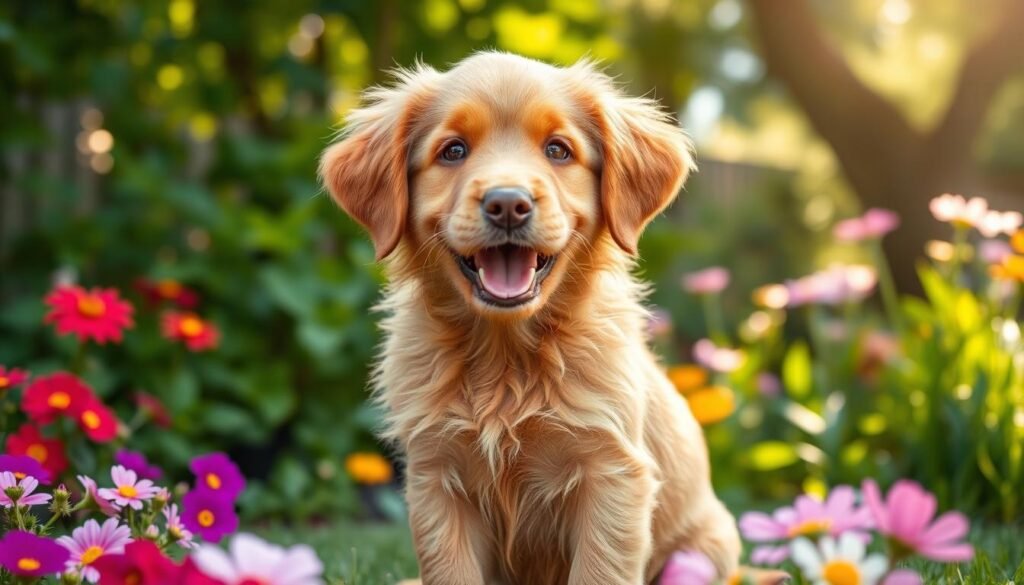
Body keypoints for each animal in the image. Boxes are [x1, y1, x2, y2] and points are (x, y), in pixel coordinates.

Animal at [321, 52, 745, 581]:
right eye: (453, 151)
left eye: (558, 150)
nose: (507, 203)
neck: (507, 354)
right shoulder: (436, 477)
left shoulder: (612, 474)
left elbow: (598, 571)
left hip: (707, 546)